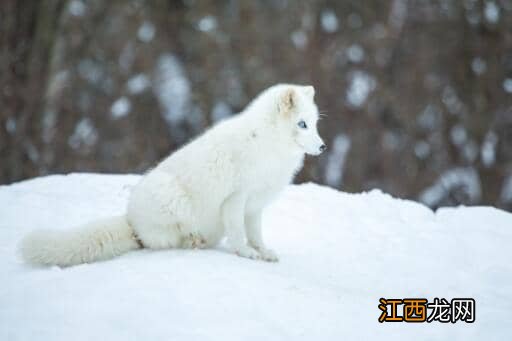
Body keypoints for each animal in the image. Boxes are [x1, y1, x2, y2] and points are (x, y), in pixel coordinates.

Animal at [20, 83, 326, 266]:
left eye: (314, 124)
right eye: (302, 124)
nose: (323, 146)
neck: (268, 144)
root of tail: (131, 222)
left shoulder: (254, 206)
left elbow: (256, 234)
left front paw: (263, 252)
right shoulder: (235, 199)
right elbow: (239, 234)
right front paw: (246, 253)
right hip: (171, 196)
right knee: (160, 241)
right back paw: (192, 240)